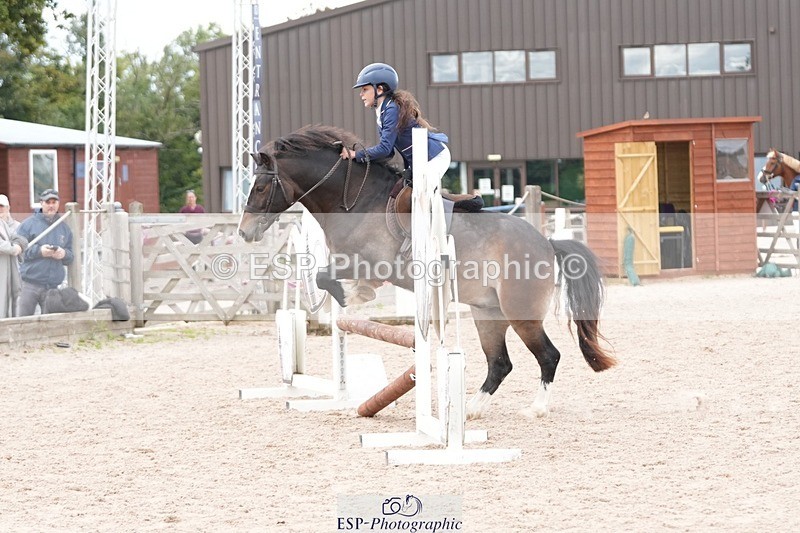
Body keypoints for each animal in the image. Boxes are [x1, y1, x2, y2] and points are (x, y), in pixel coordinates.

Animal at [238, 124, 616, 419]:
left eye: (260, 187)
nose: (243, 232)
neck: (355, 200)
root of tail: (547, 243)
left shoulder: (374, 262)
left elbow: (328, 278)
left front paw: (356, 294)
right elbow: (323, 276)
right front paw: (352, 295)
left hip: (520, 313)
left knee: (548, 356)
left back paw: (535, 408)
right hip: (487, 314)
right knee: (499, 363)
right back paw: (471, 409)